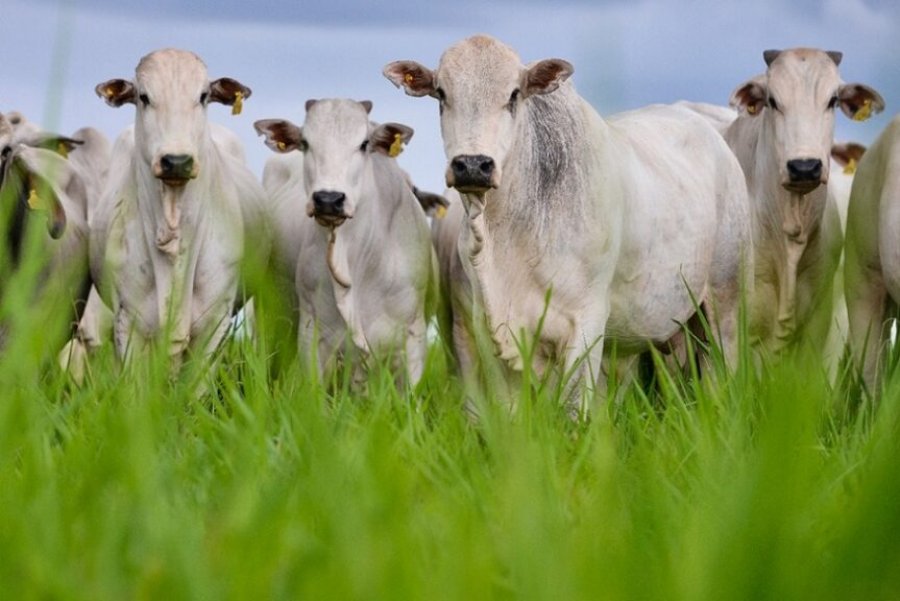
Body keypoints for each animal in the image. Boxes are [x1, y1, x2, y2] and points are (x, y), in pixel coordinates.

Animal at [384, 34, 752, 412]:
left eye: (514, 94)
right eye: (442, 94)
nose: (472, 165)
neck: (507, 237)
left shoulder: (587, 321)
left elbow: (576, 407)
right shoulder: (484, 328)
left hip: (725, 301)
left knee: (720, 376)